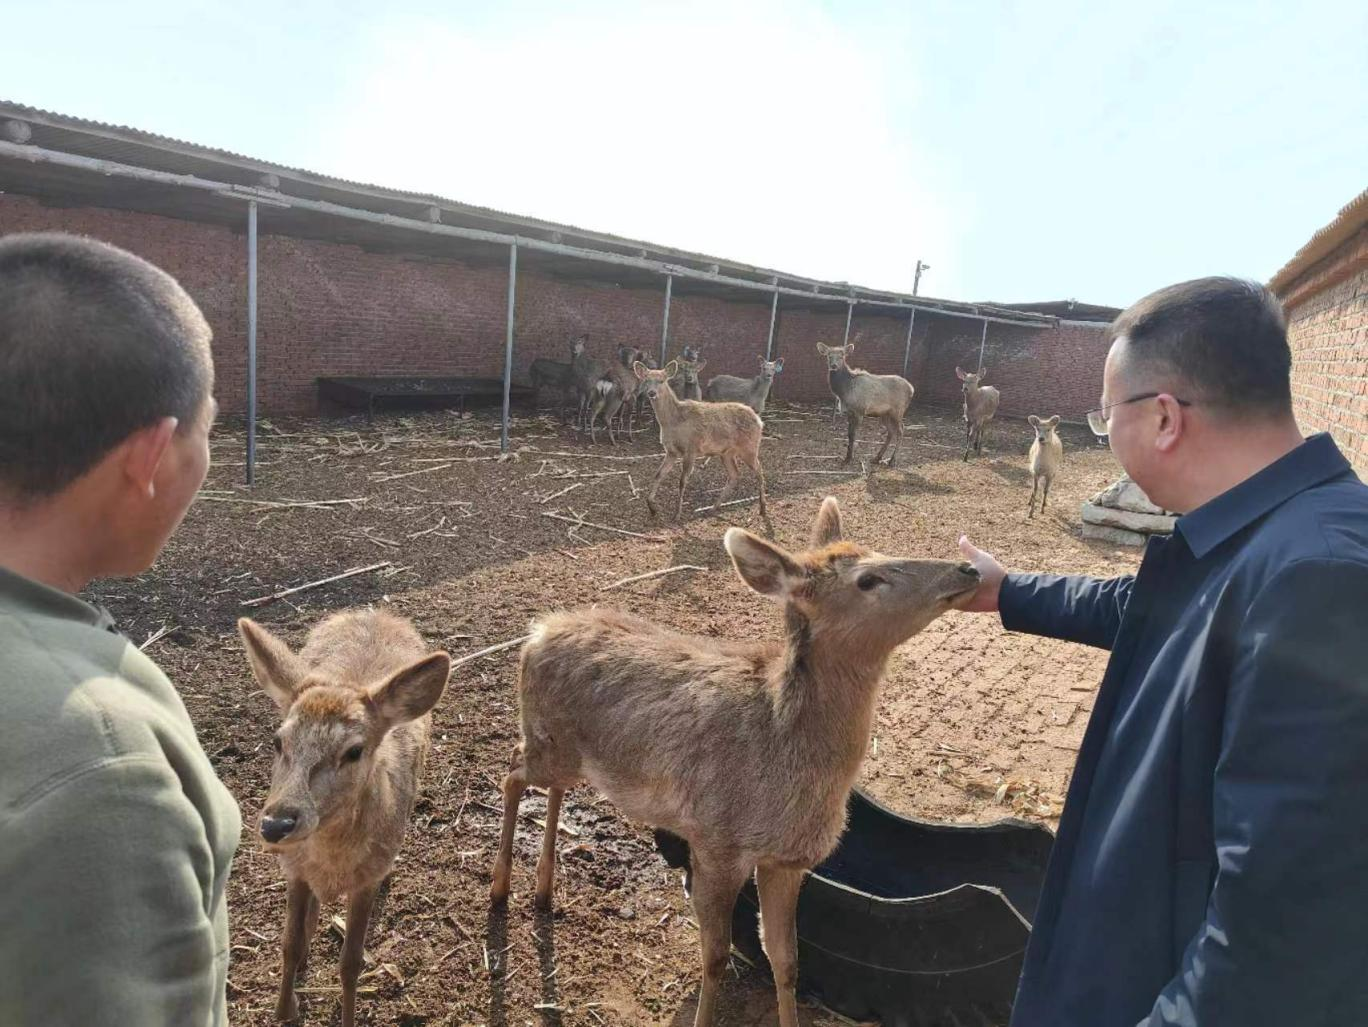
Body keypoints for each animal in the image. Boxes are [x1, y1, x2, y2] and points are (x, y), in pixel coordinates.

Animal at [235, 609, 448, 1027]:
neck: (331, 863)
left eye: (354, 751)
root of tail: (376, 611)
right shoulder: (295, 869)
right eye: (278, 741)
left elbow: (351, 963)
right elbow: (288, 944)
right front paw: (284, 1010)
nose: (277, 824)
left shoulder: (366, 878)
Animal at [487, 497, 979, 1027]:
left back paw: (543, 889)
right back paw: (499, 890)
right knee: (511, 770)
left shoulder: (787, 861)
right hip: (547, 741)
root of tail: (537, 633)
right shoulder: (714, 841)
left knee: (545, 783)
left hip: (567, 755)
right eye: (867, 579)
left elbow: (786, 960)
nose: (968, 568)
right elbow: (716, 957)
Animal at [632, 361, 766, 522]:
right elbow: (658, 474)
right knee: (735, 475)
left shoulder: (691, 448)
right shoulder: (671, 451)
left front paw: (677, 514)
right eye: (646, 380)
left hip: (749, 447)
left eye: (662, 380)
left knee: (759, 471)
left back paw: (762, 508)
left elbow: (682, 481)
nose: (652, 393)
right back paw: (713, 508)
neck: (673, 422)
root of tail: (759, 420)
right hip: (727, 453)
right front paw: (652, 508)